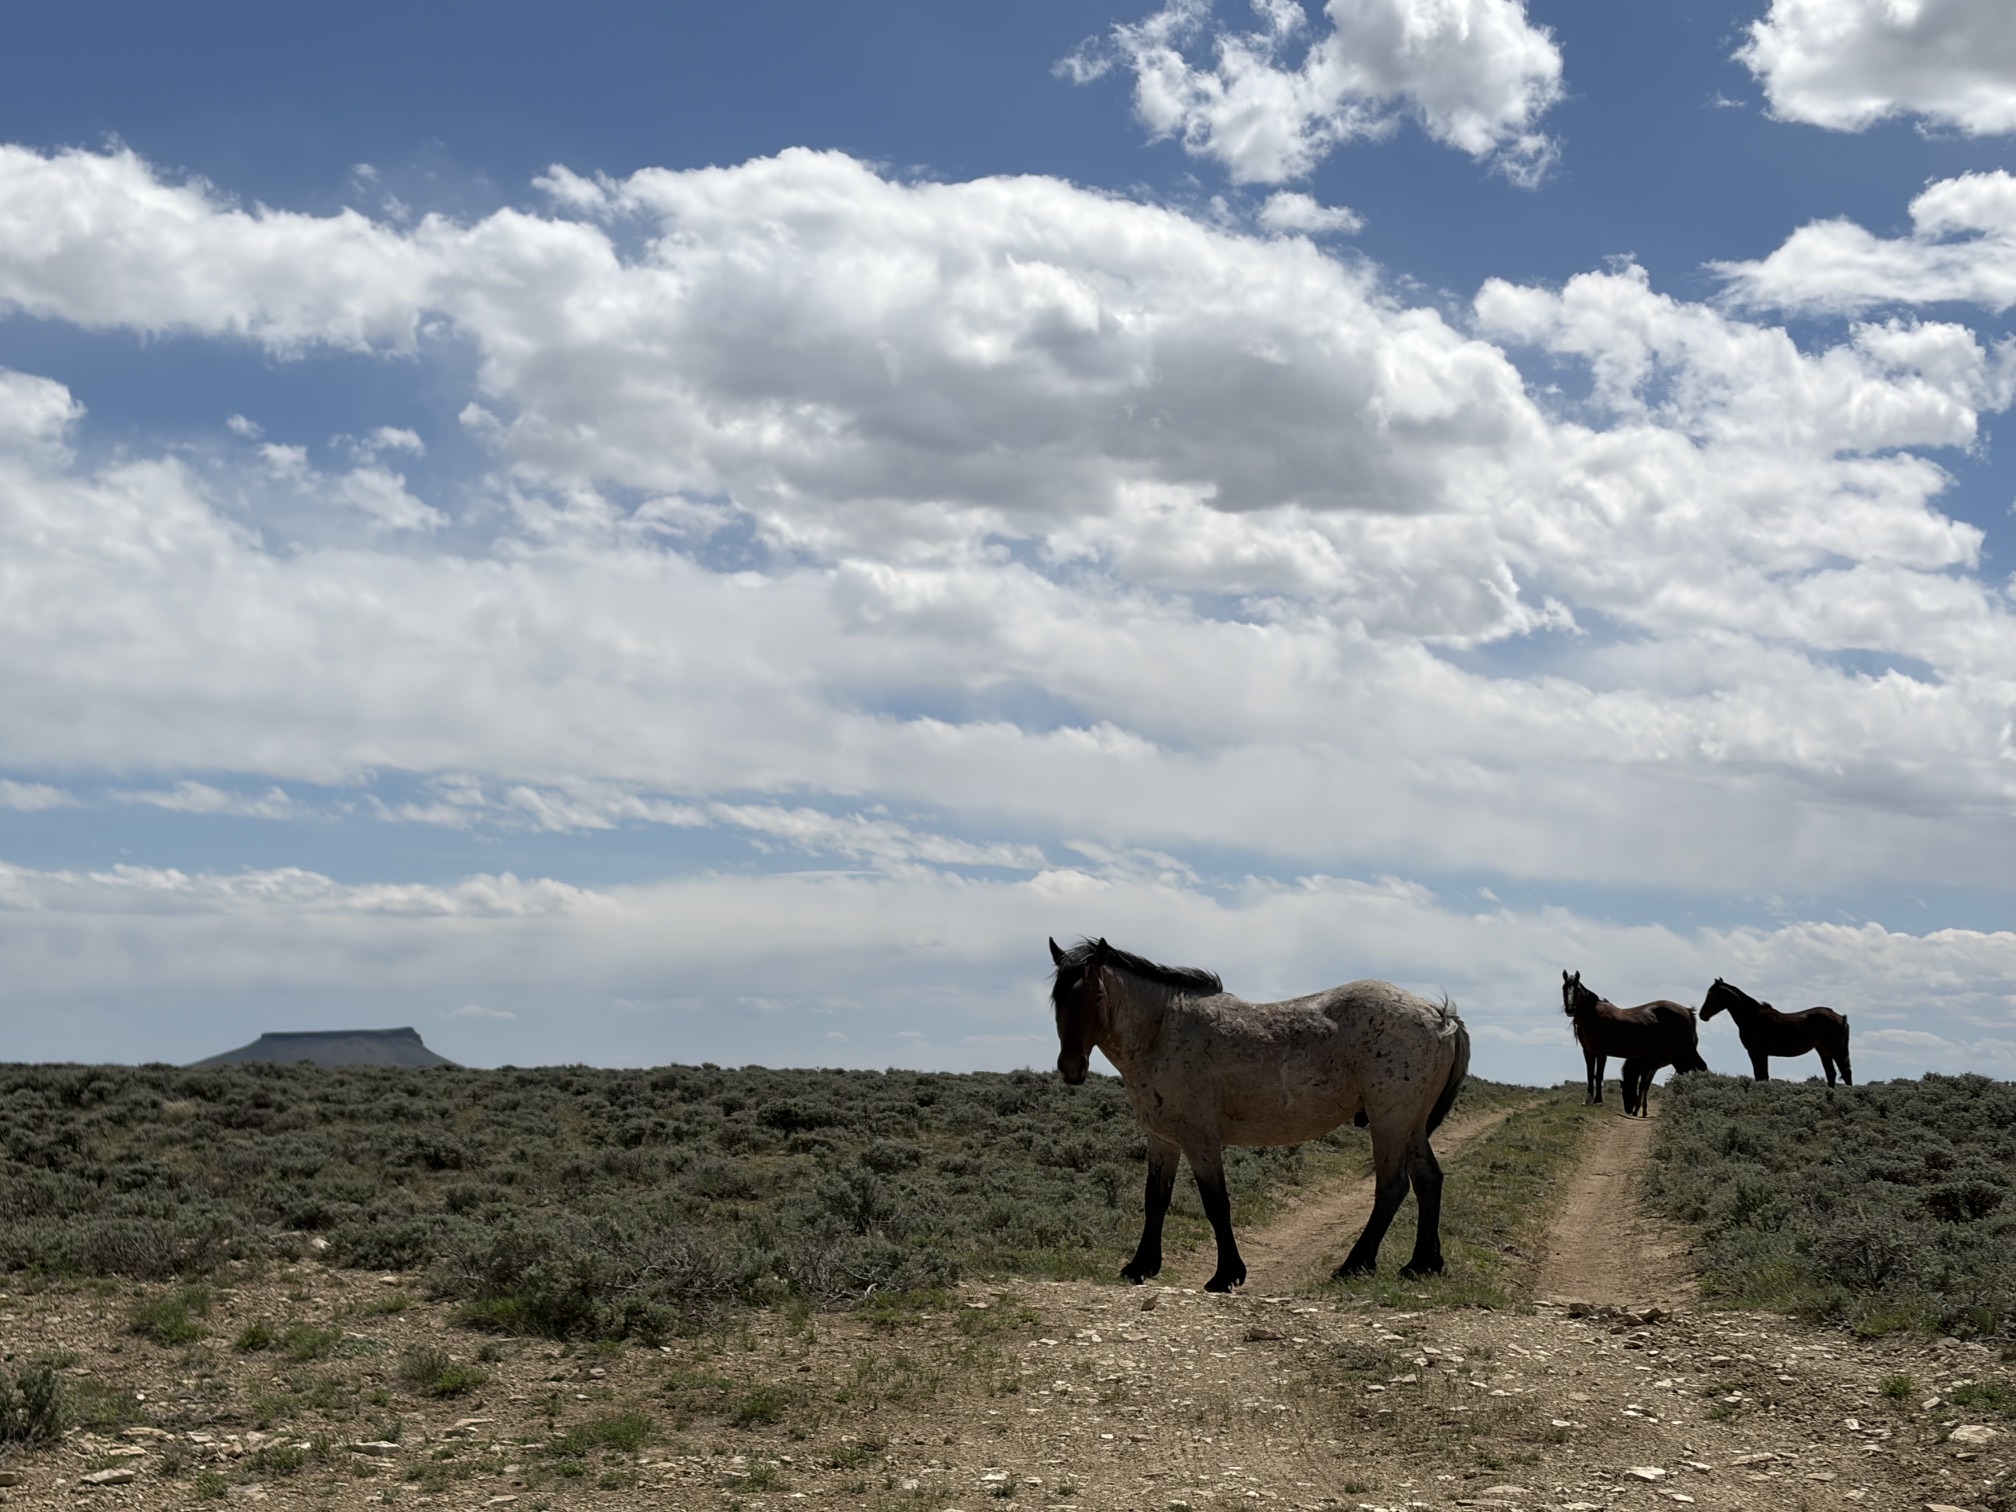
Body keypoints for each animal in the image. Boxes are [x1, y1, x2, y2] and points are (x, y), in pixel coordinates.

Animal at [1049, 936, 1470, 1292]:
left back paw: (1355, 1263)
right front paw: (1141, 1266)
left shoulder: (1200, 1141)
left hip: (1390, 1120)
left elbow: (1216, 1203)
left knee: (1392, 1187)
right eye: (1057, 999)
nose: (1071, 1068)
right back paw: (1422, 1264)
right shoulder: (1162, 1139)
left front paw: (1226, 1275)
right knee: (1428, 1180)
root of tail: (1440, 1015)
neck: (1162, 1033)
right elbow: (1155, 1200)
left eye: (1096, 995)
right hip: (1411, 1124)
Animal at [1560, 970, 1703, 1109]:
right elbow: (1590, 1075)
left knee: (1700, 1067)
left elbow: (1598, 1076)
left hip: (1685, 1050)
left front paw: (1598, 1101)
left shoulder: (1601, 1053)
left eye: (1576, 989)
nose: (1570, 1009)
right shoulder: (1588, 1052)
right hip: (1676, 1054)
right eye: (1564, 987)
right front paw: (1588, 1101)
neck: (1593, 1016)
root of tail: (1687, 1010)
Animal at [1700, 977, 1852, 1085]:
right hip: (1823, 1051)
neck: (1751, 1017)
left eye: (1711, 995)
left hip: (1836, 1051)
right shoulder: (1760, 1054)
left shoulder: (1757, 1053)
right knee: (1831, 1074)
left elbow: (1761, 1077)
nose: (1702, 1015)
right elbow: (1761, 1077)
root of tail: (1841, 1018)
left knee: (1846, 1073)